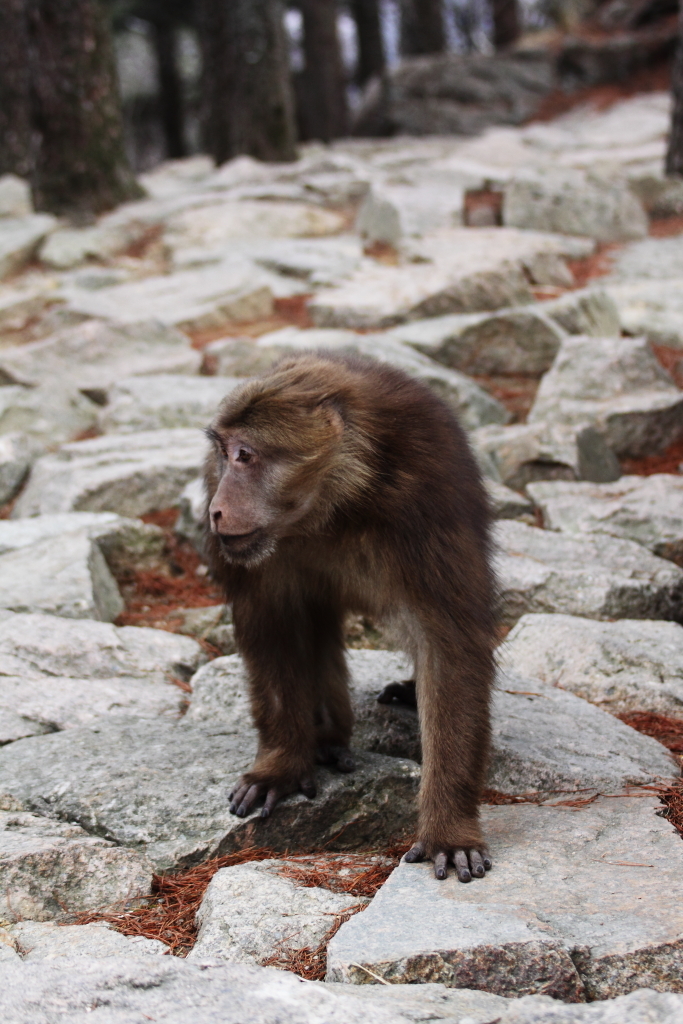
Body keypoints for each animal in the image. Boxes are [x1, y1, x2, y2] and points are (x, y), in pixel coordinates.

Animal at [202, 350, 497, 880]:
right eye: (223, 454)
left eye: (246, 456)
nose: (216, 509)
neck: (335, 504)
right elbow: (272, 626)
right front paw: (281, 763)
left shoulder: (426, 502)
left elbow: (450, 643)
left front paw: (450, 829)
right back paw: (325, 737)